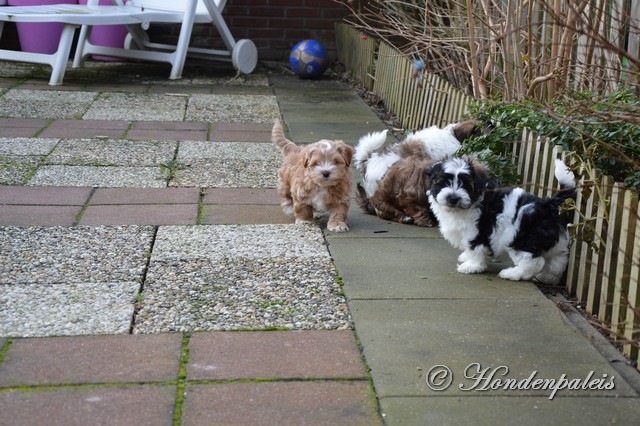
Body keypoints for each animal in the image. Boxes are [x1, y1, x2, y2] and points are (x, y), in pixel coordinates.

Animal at [428, 155, 576, 284]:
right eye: (443, 183)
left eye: (466, 185)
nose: (453, 198)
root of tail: (548, 205)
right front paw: (466, 257)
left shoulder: (476, 231)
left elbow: (474, 248)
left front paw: (472, 266)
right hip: (555, 242)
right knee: (558, 261)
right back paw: (547, 278)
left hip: (522, 237)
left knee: (534, 262)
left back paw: (513, 274)